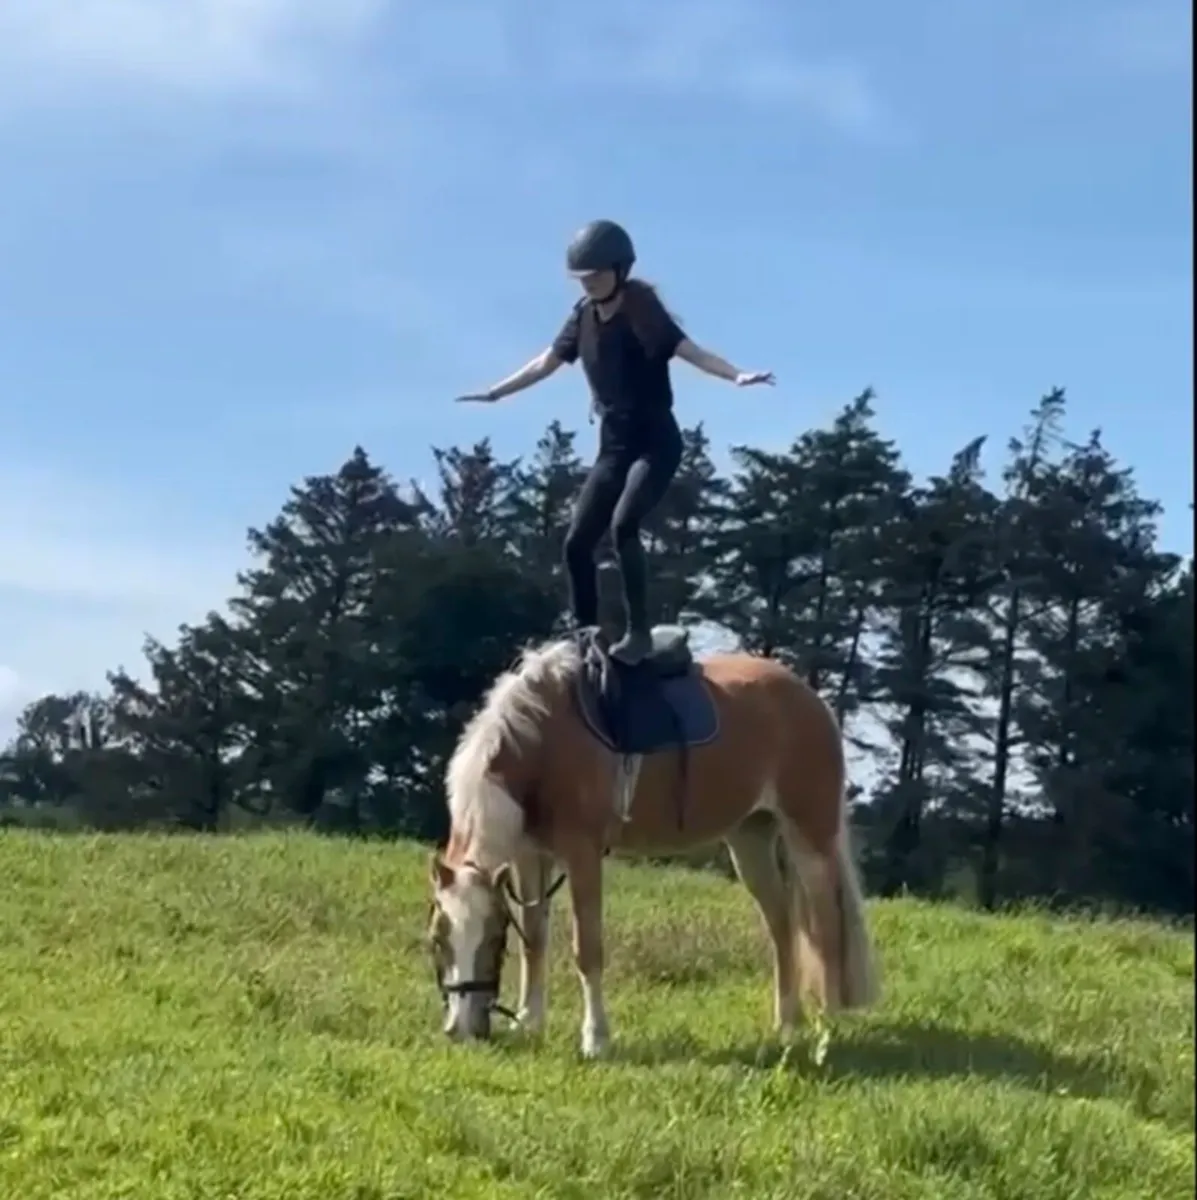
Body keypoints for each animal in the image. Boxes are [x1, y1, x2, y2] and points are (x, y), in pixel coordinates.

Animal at [426, 625, 879, 1058]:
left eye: (492, 939)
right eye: (438, 939)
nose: (462, 1030)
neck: (546, 739)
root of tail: (811, 699)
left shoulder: (583, 853)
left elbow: (586, 949)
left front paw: (596, 1040)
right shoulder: (529, 857)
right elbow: (534, 940)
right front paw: (529, 1024)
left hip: (809, 838)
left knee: (826, 930)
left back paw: (826, 1030)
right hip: (751, 839)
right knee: (782, 926)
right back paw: (786, 1027)